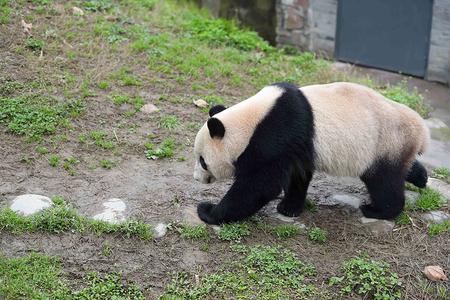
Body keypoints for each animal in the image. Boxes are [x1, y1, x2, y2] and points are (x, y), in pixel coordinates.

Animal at [192, 82, 428, 225]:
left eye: (203, 161)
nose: (196, 178)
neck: (250, 122)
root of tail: (421, 131)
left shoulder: (275, 135)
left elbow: (258, 186)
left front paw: (208, 211)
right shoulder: (296, 146)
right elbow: (298, 175)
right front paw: (289, 208)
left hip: (385, 141)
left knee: (384, 181)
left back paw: (377, 210)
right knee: (400, 169)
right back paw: (421, 177)